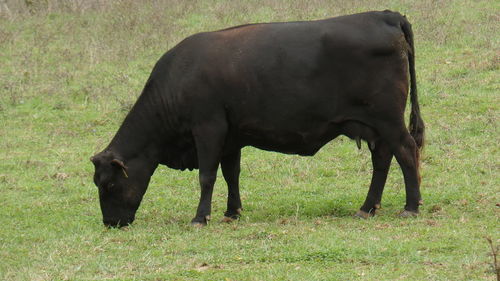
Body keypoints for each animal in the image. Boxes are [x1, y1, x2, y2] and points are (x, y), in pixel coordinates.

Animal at [90, 9, 422, 226]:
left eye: (108, 185)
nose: (110, 223)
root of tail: (385, 14)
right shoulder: (230, 136)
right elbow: (231, 174)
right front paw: (231, 212)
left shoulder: (208, 128)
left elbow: (207, 175)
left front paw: (200, 217)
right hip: (374, 126)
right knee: (382, 161)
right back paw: (367, 208)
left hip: (388, 120)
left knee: (407, 152)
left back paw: (411, 206)